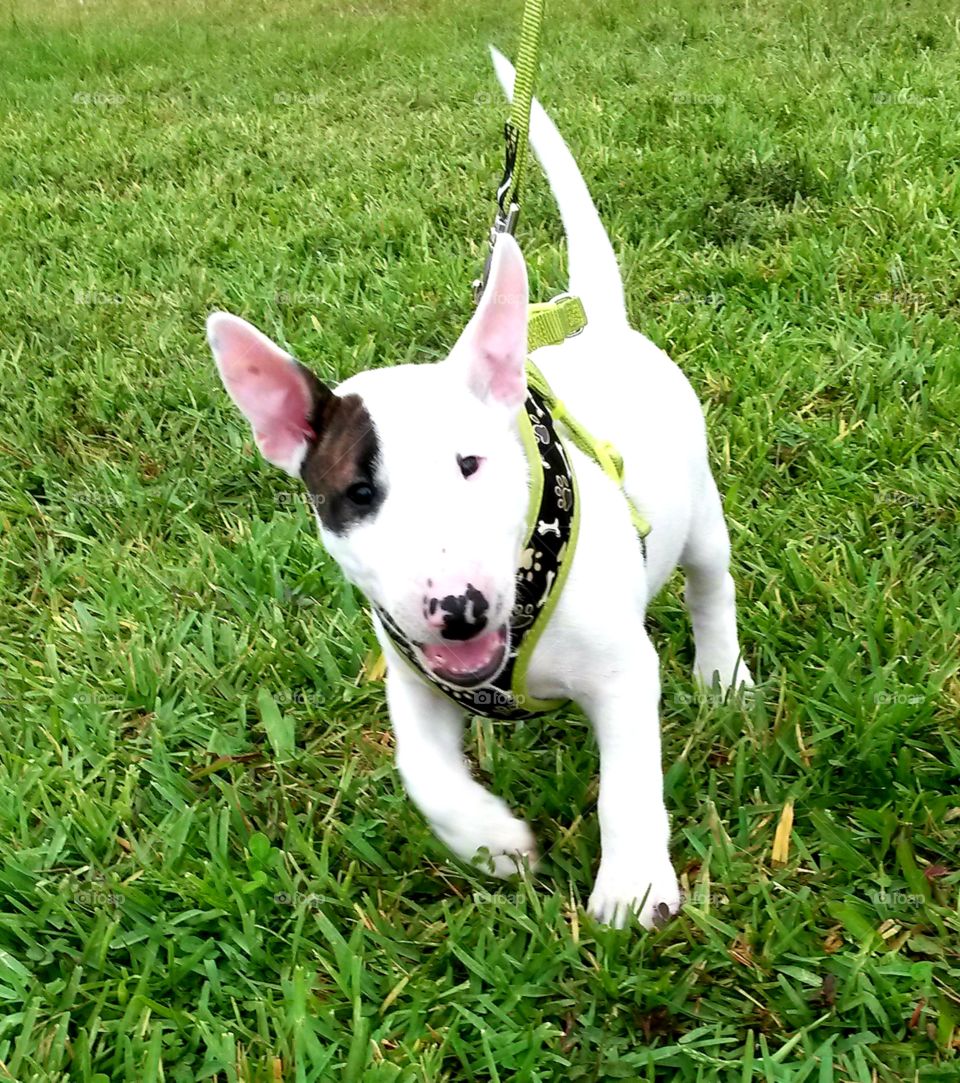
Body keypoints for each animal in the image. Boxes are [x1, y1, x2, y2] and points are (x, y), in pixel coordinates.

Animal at [206, 50, 754, 927]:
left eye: (471, 464)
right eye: (358, 494)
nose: (457, 609)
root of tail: (600, 328)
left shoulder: (622, 672)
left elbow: (628, 783)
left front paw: (632, 888)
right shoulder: (413, 678)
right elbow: (422, 772)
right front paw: (492, 842)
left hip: (700, 515)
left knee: (712, 584)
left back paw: (723, 675)